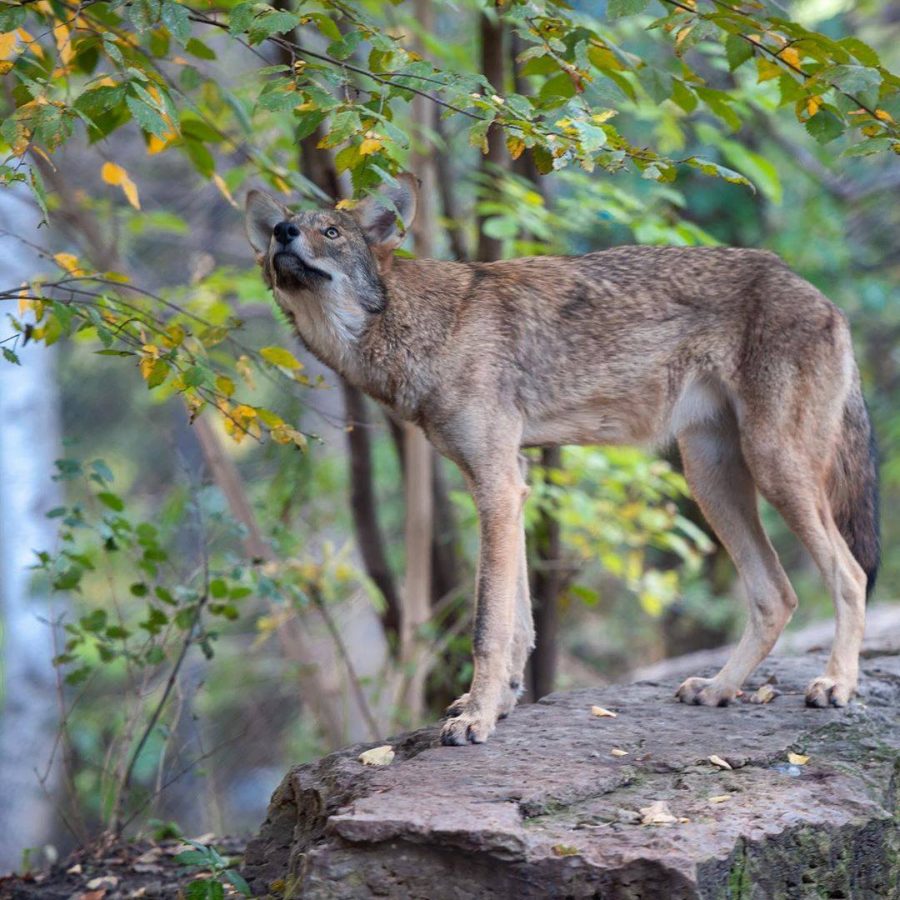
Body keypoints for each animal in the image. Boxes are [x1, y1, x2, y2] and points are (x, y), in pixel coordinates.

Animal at [245, 173, 879, 746]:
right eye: (286, 228)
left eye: (329, 231)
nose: (281, 233)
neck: (425, 325)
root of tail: (818, 294)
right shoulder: (511, 484)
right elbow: (519, 623)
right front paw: (497, 706)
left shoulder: (498, 489)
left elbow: (488, 626)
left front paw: (476, 719)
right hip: (711, 479)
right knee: (778, 594)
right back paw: (720, 688)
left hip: (772, 469)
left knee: (849, 574)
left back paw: (836, 685)